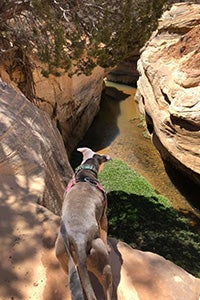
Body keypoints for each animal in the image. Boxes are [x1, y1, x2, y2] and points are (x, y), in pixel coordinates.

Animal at [55, 148, 112, 300]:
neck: (86, 172)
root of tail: (78, 241)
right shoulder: (104, 217)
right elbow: (105, 233)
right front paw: (109, 247)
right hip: (104, 265)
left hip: (63, 257)